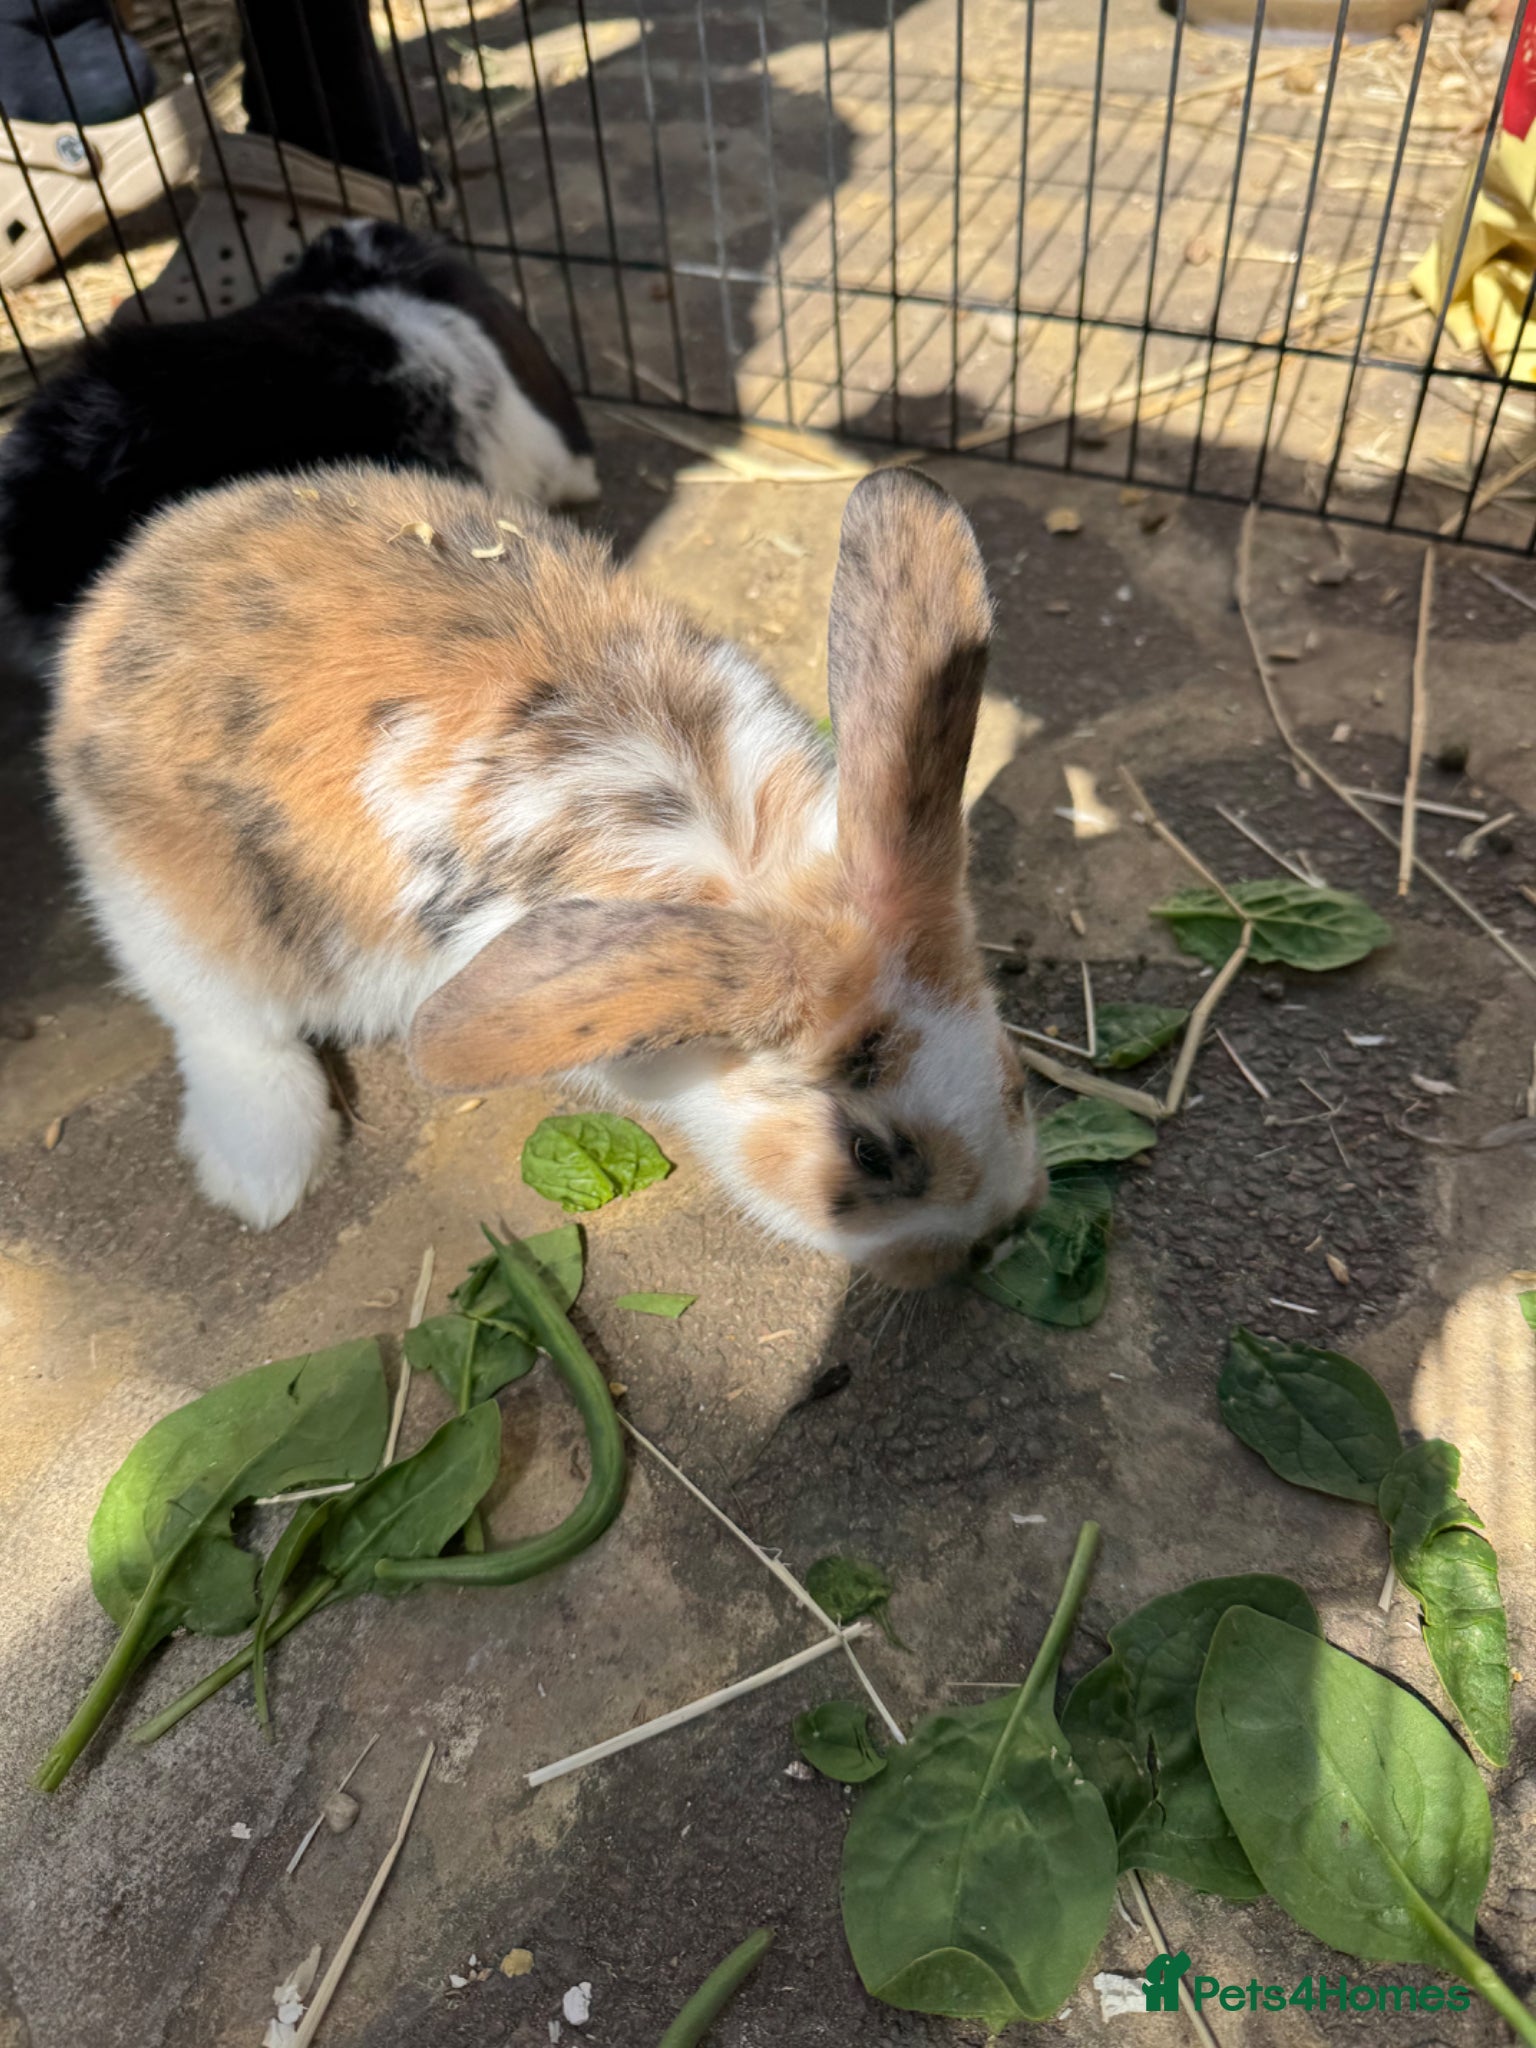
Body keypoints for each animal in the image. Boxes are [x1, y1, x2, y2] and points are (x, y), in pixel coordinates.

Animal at [47, 461, 1043, 1288]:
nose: (997, 1235)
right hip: (168, 908)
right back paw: (265, 1176)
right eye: (872, 1154)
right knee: (222, 1027)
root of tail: (128, 580)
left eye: (1012, 1071)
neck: (746, 881)